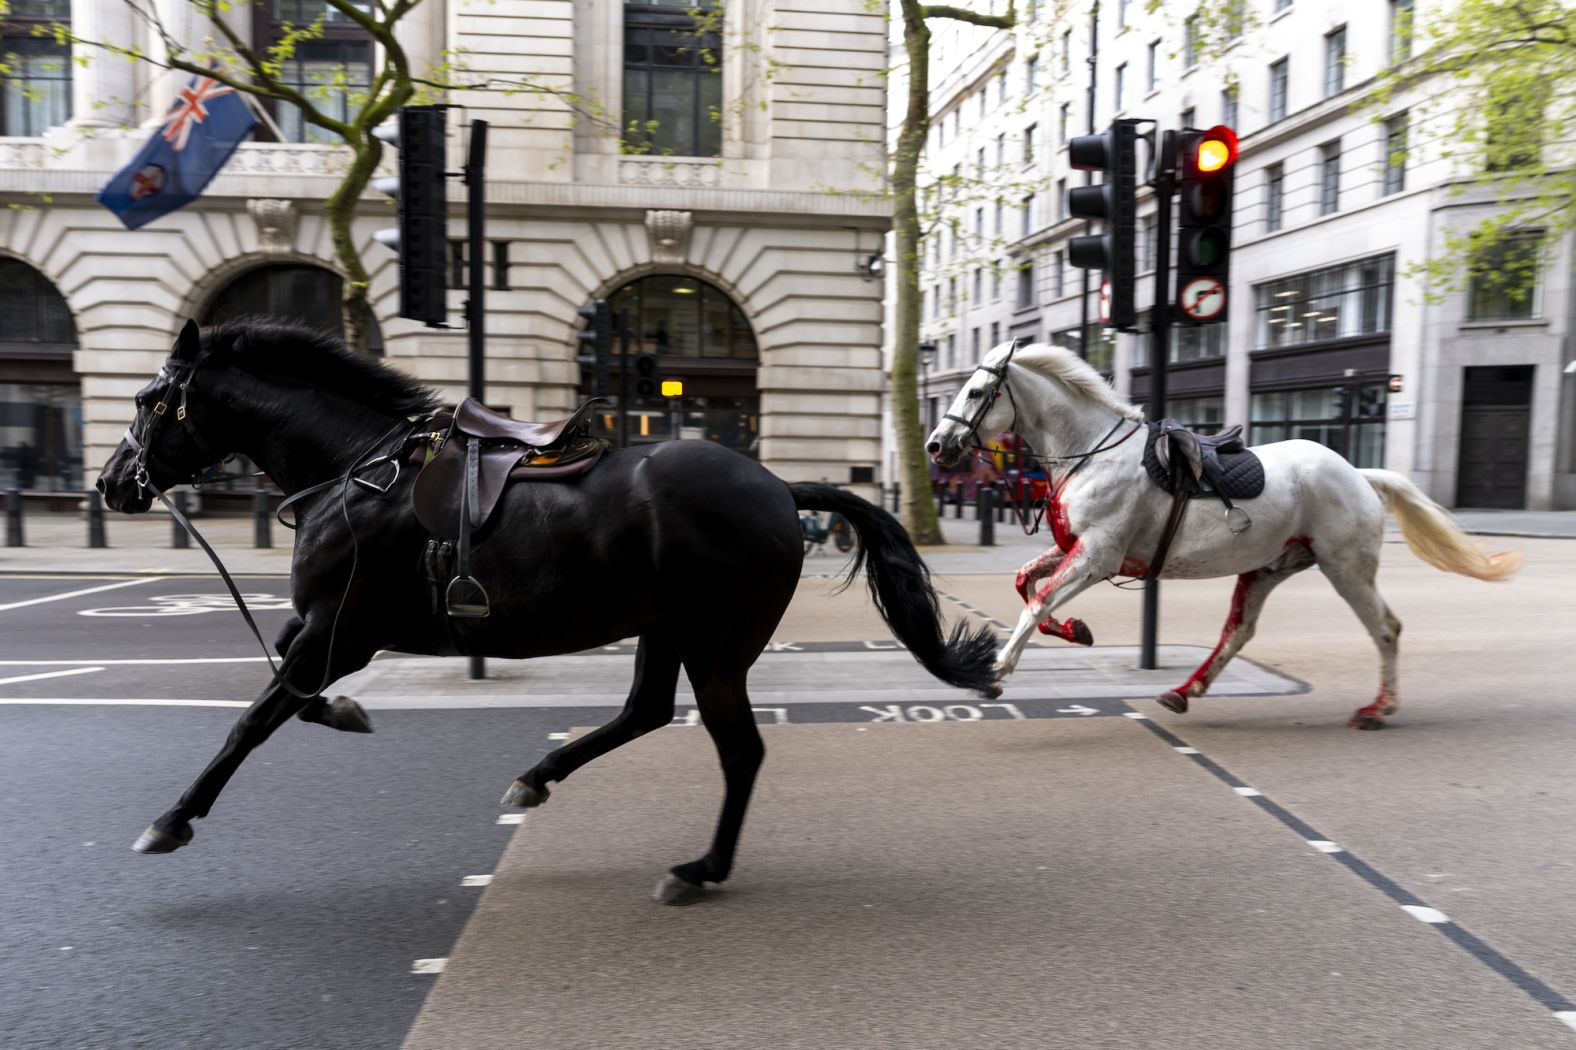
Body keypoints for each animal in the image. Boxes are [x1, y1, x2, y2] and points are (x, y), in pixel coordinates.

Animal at [95, 318, 996, 901]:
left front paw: (172, 819)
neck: (357, 471)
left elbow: (255, 717)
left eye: (146, 399)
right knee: (644, 712)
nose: (108, 485)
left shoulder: (341, 630)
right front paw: (348, 712)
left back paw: (699, 869)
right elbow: (290, 687)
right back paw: (538, 778)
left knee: (738, 750)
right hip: (665, 628)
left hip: (716, 643)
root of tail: (778, 486)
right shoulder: (325, 629)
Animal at [926, 338, 1519, 725]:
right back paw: (1186, 691)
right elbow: (1026, 583)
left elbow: (1038, 599)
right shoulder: (1076, 548)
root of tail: (1357, 473)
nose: (935, 445)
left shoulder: (1097, 556)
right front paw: (1076, 629)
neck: (1091, 452)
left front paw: (996, 672)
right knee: (1239, 632)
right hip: (1268, 568)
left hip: (1345, 567)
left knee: (1386, 629)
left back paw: (1379, 707)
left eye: (976, 392)